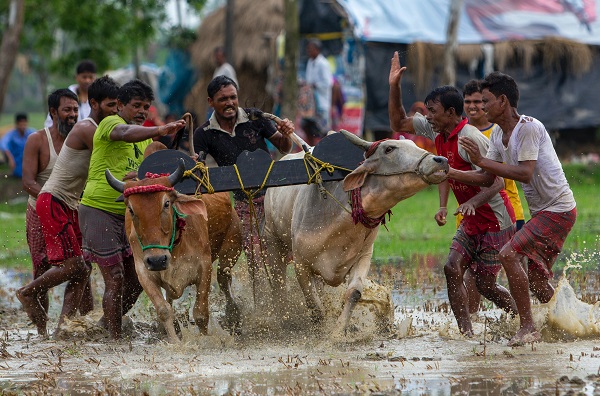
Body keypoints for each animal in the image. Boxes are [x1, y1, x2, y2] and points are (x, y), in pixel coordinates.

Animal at [106, 160, 240, 340]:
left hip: (231, 249)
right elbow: (164, 310)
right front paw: (174, 340)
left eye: (166, 203)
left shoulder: (204, 267)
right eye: (131, 210)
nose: (157, 260)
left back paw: (233, 315)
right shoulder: (144, 272)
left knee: (224, 280)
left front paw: (205, 339)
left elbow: (200, 313)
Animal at [264, 131, 448, 336]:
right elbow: (314, 304)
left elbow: (354, 293)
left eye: (413, 143)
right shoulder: (301, 264)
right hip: (272, 240)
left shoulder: (363, 256)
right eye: (389, 148)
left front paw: (338, 332)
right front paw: (320, 329)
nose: (440, 160)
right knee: (278, 284)